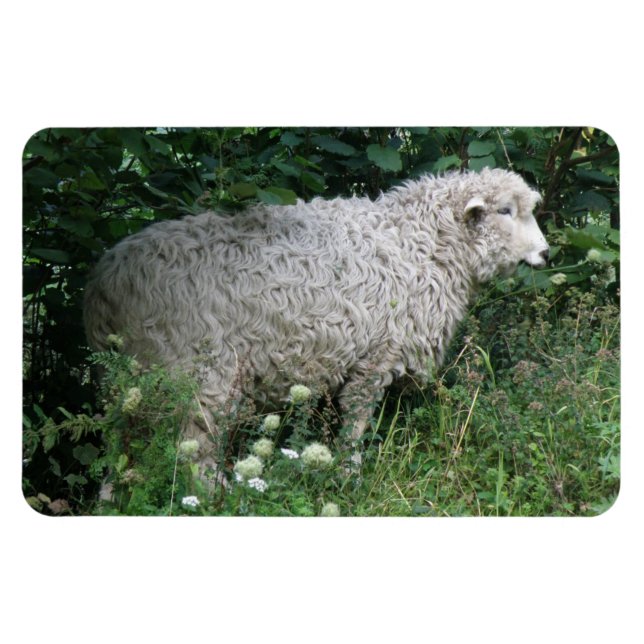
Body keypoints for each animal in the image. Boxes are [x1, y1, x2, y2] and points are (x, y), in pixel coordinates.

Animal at [84, 167, 549, 479]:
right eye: (505, 211)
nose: (546, 254)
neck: (421, 243)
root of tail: (104, 283)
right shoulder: (376, 356)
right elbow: (356, 423)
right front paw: (349, 476)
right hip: (198, 372)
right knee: (194, 449)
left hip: (129, 382)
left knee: (116, 446)